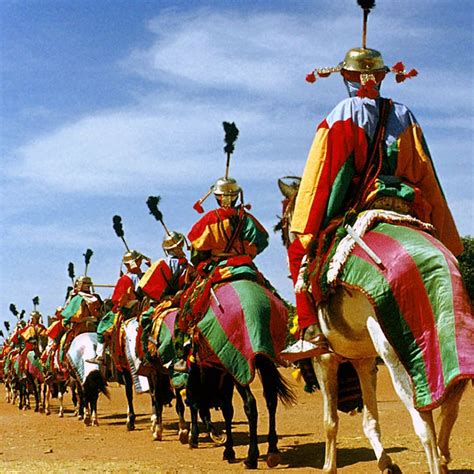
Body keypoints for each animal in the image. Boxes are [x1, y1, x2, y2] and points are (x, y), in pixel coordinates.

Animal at [276, 178, 472, 474]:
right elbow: (369, 421)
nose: (291, 241)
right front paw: (387, 464)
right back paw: (444, 456)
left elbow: (330, 421)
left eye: (284, 226)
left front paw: (329, 466)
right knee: (451, 407)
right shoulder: (364, 360)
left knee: (424, 423)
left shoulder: (325, 358)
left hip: (400, 356)